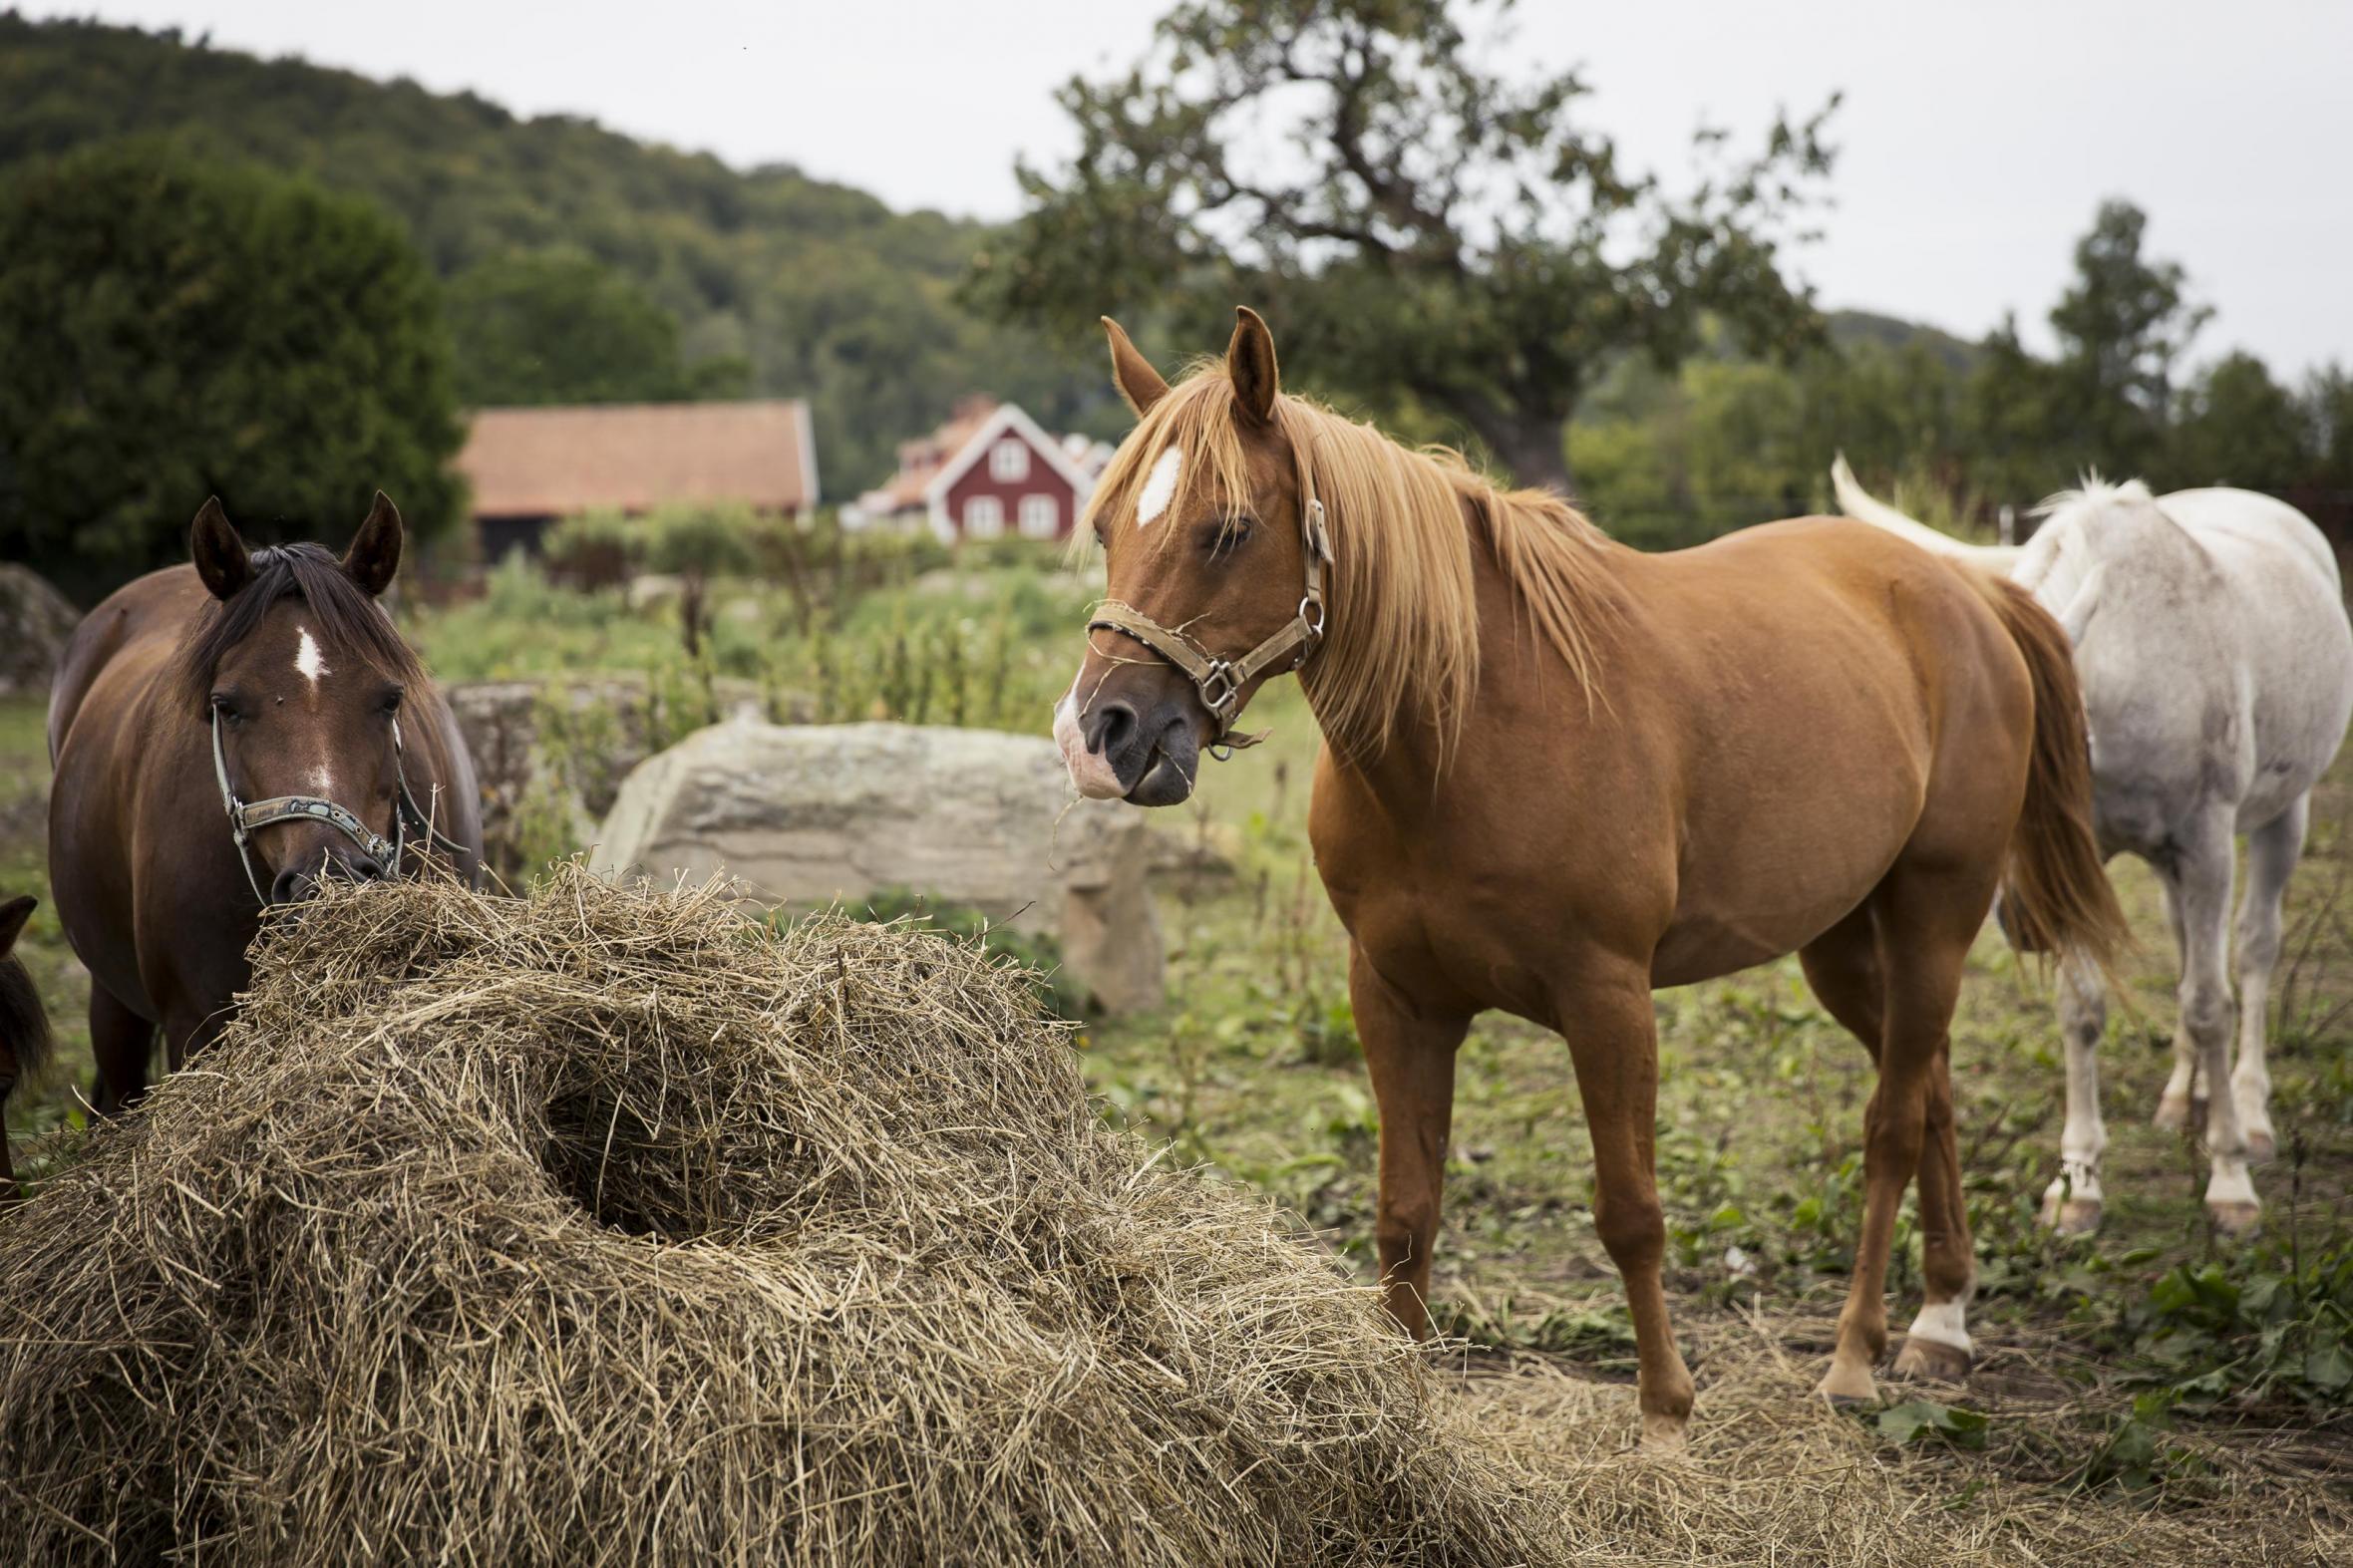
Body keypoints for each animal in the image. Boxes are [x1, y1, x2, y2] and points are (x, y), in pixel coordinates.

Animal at [1054, 309, 2126, 1446]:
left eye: (1225, 530)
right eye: (1106, 526)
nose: (1096, 735)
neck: (1467, 730)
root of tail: (1969, 590)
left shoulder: (1607, 999)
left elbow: (1629, 1213)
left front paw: (1664, 1416)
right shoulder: (1395, 998)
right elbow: (1405, 1210)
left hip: (1934, 914)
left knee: (1889, 1125)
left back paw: (1852, 1354)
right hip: (1841, 943)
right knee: (1930, 1093)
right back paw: (1939, 1320)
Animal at [1832, 458, 2353, 1233]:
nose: (2020, 923)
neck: (2133, 667)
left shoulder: (2204, 842)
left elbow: (2210, 1005)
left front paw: (2229, 1181)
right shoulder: (2083, 864)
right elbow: (2083, 1012)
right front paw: (2078, 1183)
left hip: (2281, 814)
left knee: (2255, 951)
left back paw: (2251, 1113)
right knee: (2185, 947)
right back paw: (2182, 1096)